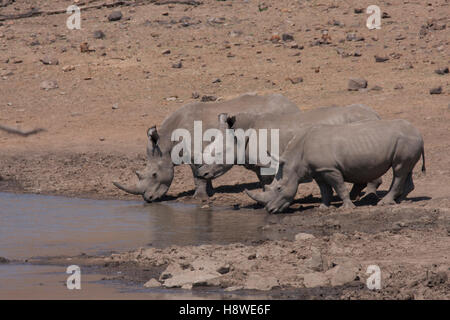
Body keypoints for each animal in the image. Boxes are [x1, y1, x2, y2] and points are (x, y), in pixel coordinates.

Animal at [113, 93, 302, 202]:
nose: (148, 199)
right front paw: (211, 193)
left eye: (154, 174)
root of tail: (293, 105)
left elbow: (197, 176)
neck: (166, 145)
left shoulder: (193, 153)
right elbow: (204, 173)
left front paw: (199, 198)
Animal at [198, 104, 384, 199]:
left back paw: (368, 197)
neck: (240, 134)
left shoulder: (268, 162)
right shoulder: (261, 164)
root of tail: (375, 114)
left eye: (218, 154)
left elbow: (270, 182)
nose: (202, 173)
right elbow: (265, 184)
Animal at [246, 119, 426, 212]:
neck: (295, 160)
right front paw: (323, 208)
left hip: (406, 141)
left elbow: (339, 187)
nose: (269, 210)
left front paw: (347, 207)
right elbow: (325, 190)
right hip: (408, 141)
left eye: (279, 188)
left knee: (399, 170)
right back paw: (401, 200)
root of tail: (419, 133)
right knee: (406, 170)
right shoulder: (318, 170)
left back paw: (385, 203)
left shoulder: (330, 169)